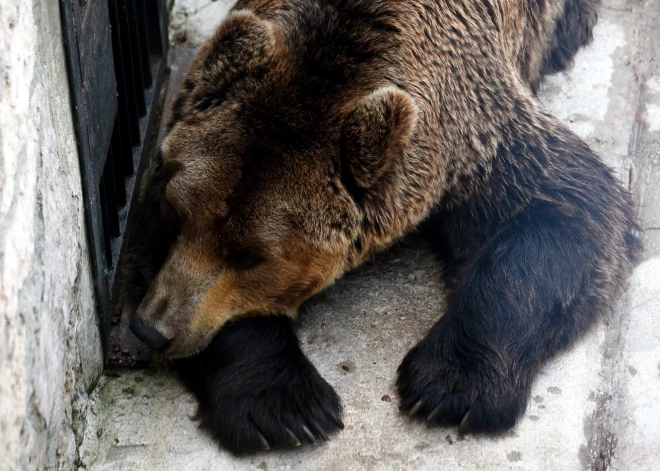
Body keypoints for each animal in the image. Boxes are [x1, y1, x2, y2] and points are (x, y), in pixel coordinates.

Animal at [120, 0, 640, 458]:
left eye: (250, 255)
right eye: (178, 213)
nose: (152, 329)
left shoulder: (482, 140)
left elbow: (566, 208)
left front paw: (448, 387)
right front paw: (288, 409)